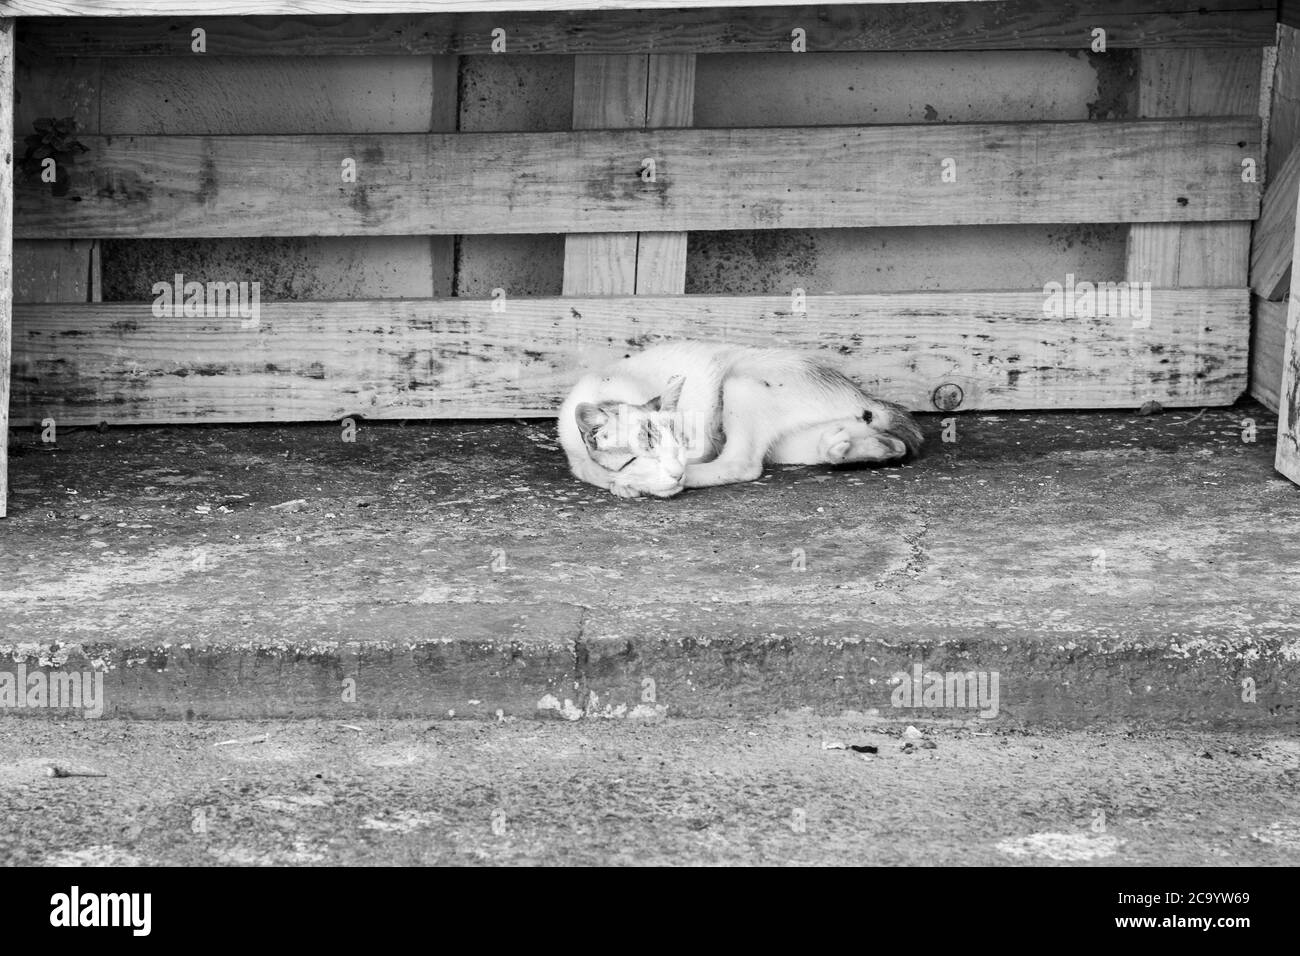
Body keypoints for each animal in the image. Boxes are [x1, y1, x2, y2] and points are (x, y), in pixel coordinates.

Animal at [559, 340, 925, 496]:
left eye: (680, 444)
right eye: (637, 455)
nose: (676, 470)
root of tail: (864, 395)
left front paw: (632, 484)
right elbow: (587, 469)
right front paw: (616, 477)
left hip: (740, 380)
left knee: (742, 464)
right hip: (791, 446)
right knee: (882, 443)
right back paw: (852, 447)